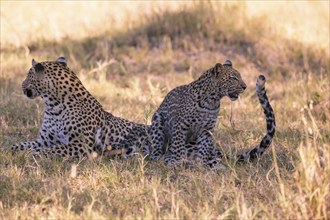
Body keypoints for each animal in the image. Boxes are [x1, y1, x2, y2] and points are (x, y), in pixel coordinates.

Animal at [11, 57, 148, 158]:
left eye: (28, 76)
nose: (22, 85)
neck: (53, 106)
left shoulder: (81, 144)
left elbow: (54, 149)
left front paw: (33, 154)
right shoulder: (45, 140)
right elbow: (21, 145)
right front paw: (10, 150)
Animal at [148, 60, 276, 168]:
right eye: (233, 78)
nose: (244, 87)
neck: (212, 101)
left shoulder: (207, 129)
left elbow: (204, 147)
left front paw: (201, 164)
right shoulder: (181, 125)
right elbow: (178, 145)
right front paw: (176, 162)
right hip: (157, 120)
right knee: (157, 147)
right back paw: (158, 158)